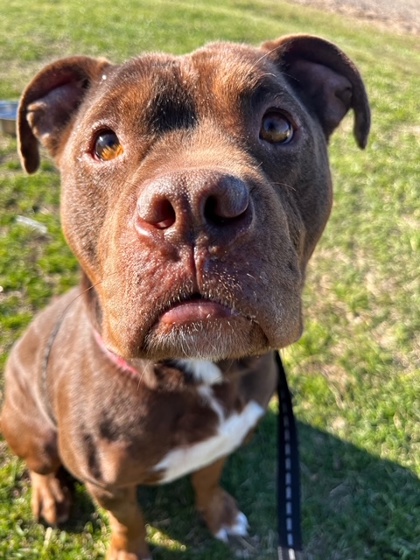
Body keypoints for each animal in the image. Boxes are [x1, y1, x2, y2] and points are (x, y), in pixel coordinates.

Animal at [0, 36, 370, 560]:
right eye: (105, 143)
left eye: (277, 126)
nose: (192, 202)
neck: (200, 372)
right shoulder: (108, 484)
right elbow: (128, 522)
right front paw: (129, 551)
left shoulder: (225, 441)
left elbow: (208, 479)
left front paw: (220, 515)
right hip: (26, 424)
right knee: (41, 461)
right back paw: (50, 494)